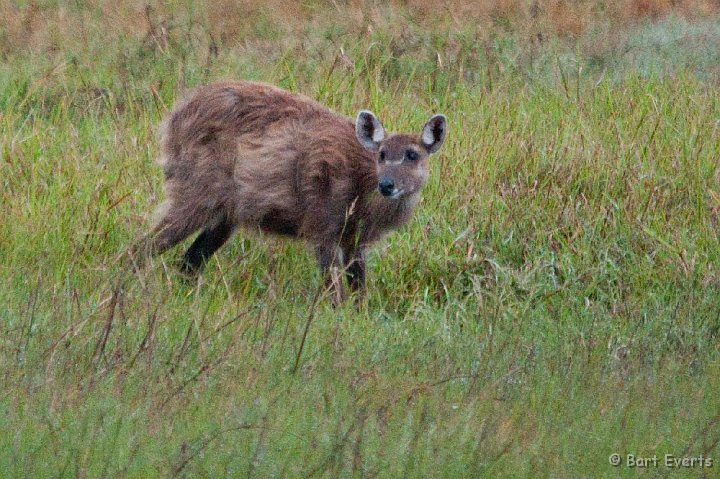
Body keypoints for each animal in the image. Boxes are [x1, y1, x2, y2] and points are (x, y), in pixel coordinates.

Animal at [141, 80, 448, 302]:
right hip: (194, 194)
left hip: (225, 215)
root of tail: (171, 121)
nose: (387, 185)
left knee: (188, 262)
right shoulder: (322, 224)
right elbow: (333, 291)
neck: (361, 193)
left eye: (412, 154)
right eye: (382, 154)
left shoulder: (355, 241)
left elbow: (359, 293)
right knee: (142, 247)